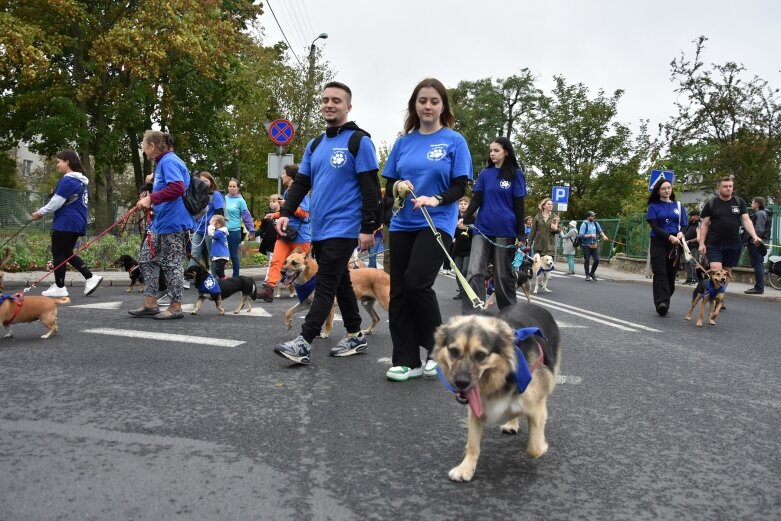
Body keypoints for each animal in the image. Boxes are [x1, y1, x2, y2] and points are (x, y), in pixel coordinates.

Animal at [432, 302, 560, 482]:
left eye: (480, 355)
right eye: (453, 351)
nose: (461, 383)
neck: (501, 376)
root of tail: (531, 303)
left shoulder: (537, 408)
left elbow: (534, 448)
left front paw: (542, 446)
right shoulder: (476, 410)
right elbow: (473, 444)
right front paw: (466, 468)